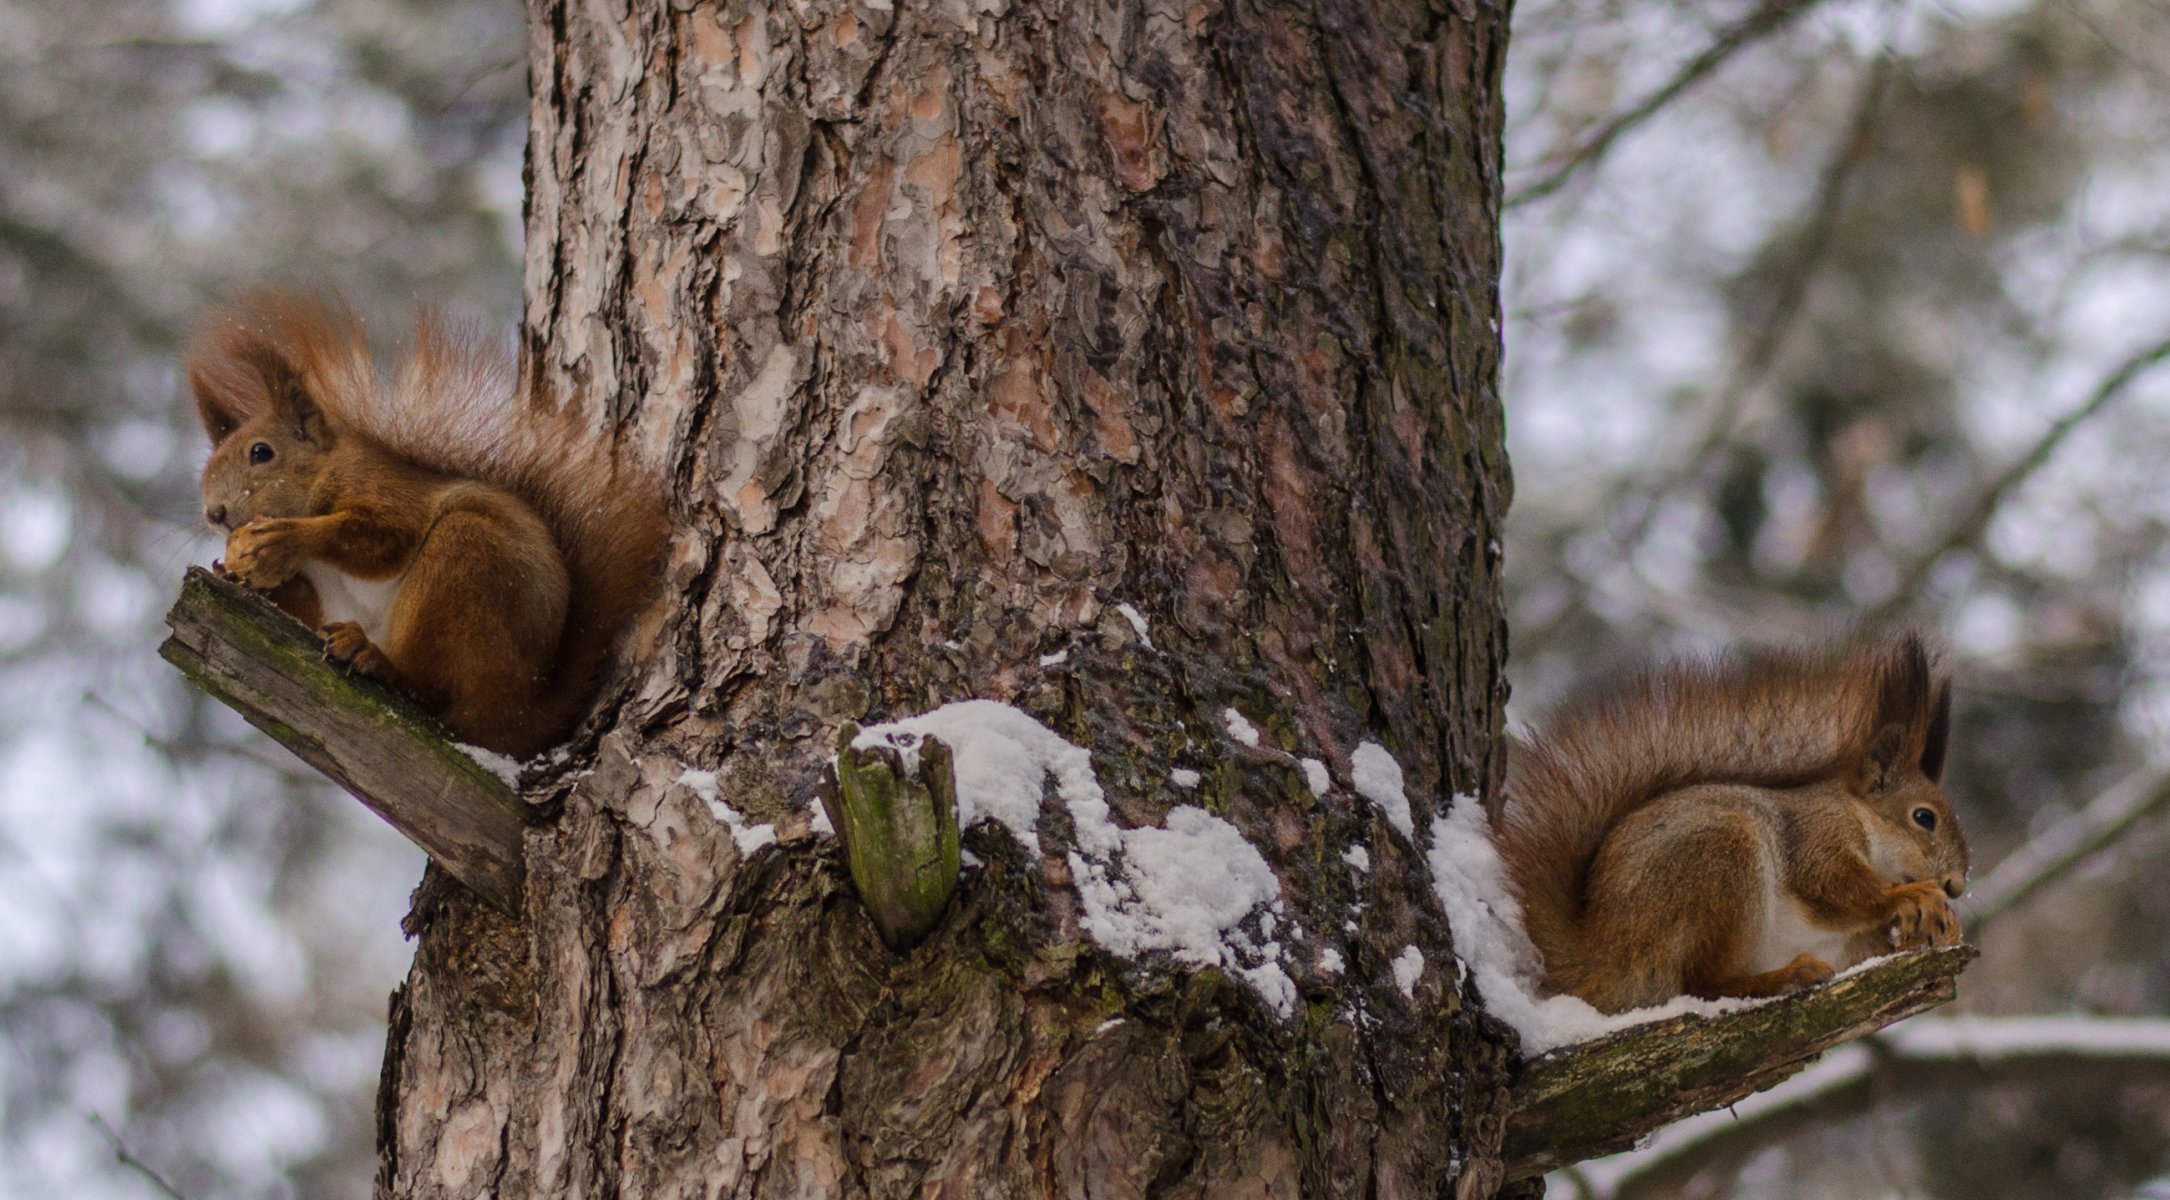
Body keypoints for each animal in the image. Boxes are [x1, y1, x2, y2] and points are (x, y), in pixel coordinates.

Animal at [189, 292, 664, 755]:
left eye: (261, 452)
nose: (214, 513)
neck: (320, 477)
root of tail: (521, 715)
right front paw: (235, 572)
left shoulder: (386, 491)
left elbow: (385, 540)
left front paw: (285, 538)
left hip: (465, 562)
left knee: (436, 695)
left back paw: (377, 661)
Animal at [1492, 633, 1970, 1015]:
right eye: (1924, 817)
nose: (1955, 885)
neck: (1860, 818)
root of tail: (1602, 955)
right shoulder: (1815, 834)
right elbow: (1832, 885)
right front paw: (1910, 895)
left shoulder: (1852, 940)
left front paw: (1942, 924)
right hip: (1718, 861)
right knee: (1700, 984)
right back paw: (1786, 976)